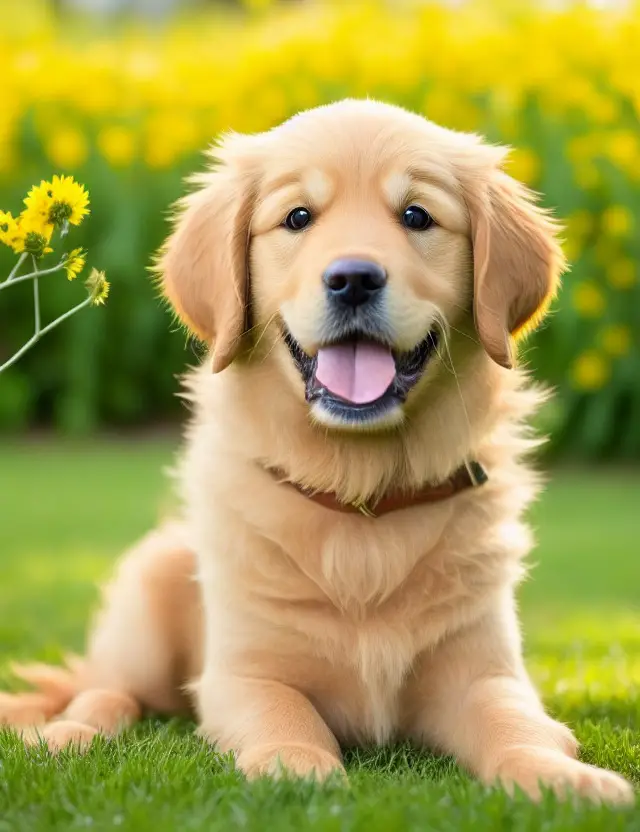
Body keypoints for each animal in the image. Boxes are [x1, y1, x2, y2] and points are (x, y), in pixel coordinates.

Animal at [1, 99, 632, 808]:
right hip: (147, 590)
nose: (353, 279)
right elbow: (285, 712)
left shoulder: (484, 671)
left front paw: (561, 778)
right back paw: (69, 734)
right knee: (107, 690)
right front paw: (296, 767)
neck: (363, 499)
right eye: (298, 217)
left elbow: (514, 721)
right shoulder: (243, 673)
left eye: (417, 216)